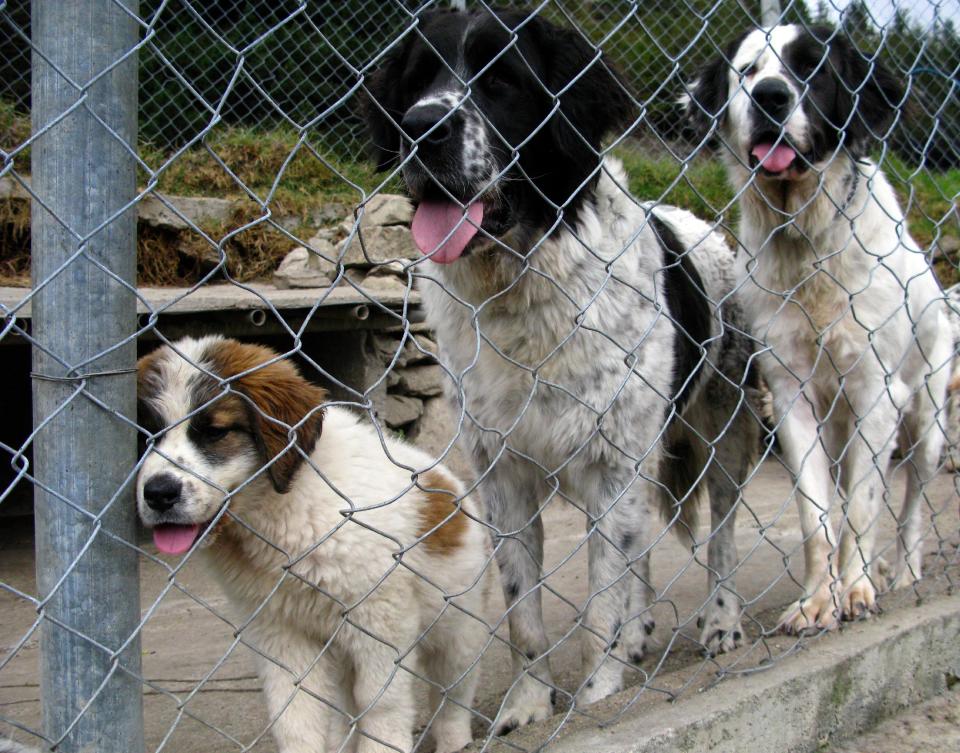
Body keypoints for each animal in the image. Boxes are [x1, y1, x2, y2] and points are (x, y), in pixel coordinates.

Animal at [137, 338, 496, 752]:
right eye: (147, 436)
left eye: (214, 433)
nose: (158, 494)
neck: (280, 505)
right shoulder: (278, 630)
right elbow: (294, 714)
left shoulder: (379, 618)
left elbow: (381, 703)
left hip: (457, 625)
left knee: (453, 689)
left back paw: (455, 738)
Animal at [364, 8, 760, 732]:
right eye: (417, 81)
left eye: (503, 82)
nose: (421, 127)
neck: (523, 283)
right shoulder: (503, 477)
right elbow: (524, 613)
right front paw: (527, 703)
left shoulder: (611, 465)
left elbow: (601, 603)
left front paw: (599, 696)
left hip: (723, 433)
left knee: (718, 536)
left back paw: (720, 621)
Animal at [688, 23, 948, 632]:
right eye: (749, 70)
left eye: (812, 68)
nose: (771, 97)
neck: (807, 239)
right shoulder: (790, 396)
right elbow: (817, 516)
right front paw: (816, 600)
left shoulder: (877, 391)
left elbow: (862, 508)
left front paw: (854, 591)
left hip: (926, 420)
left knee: (910, 504)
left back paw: (903, 571)